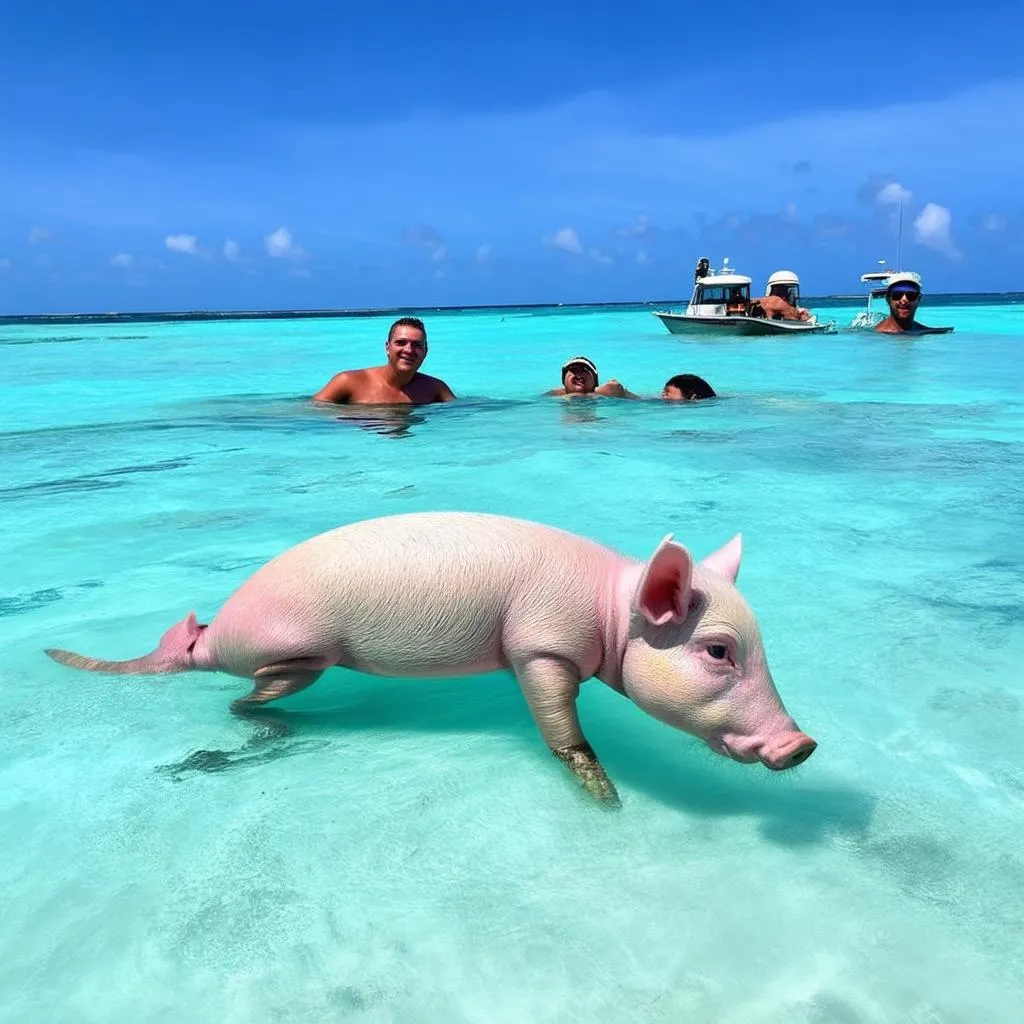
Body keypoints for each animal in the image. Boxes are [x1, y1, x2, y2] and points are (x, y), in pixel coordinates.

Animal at [46, 512, 815, 806]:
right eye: (718, 650)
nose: (802, 745)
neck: (607, 608)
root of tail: (205, 636)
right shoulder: (538, 644)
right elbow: (558, 726)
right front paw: (610, 801)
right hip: (295, 649)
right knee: (250, 689)